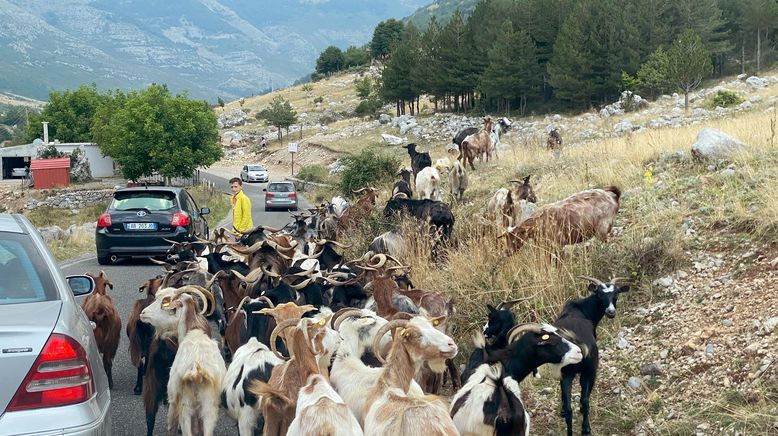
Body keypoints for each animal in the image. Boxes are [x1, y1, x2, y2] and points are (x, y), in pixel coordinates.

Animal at [556, 278, 628, 434]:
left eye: (616, 293)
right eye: (600, 294)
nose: (611, 312)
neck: (581, 308)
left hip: (569, 372)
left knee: (572, 407)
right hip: (589, 370)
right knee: (585, 401)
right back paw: (585, 429)